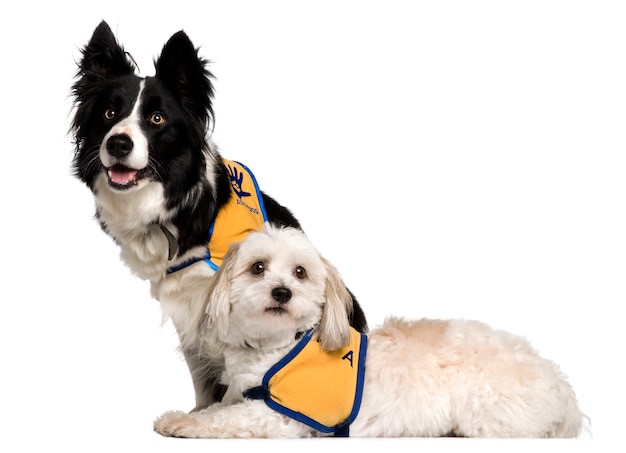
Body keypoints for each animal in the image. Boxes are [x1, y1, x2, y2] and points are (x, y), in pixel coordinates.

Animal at [69, 21, 366, 410]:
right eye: (108, 114)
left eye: (156, 119)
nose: (118, 143)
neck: (180, 208)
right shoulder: (188, 310)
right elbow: (202, 376)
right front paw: (200, 412)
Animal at [154, 226, 584, 438]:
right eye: (257, 267)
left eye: (300, 272)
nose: (282, 292)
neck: (276, 347)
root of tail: (560, 384)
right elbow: (218, 407)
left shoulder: (282, 417)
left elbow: (226, 419)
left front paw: (181, 423)